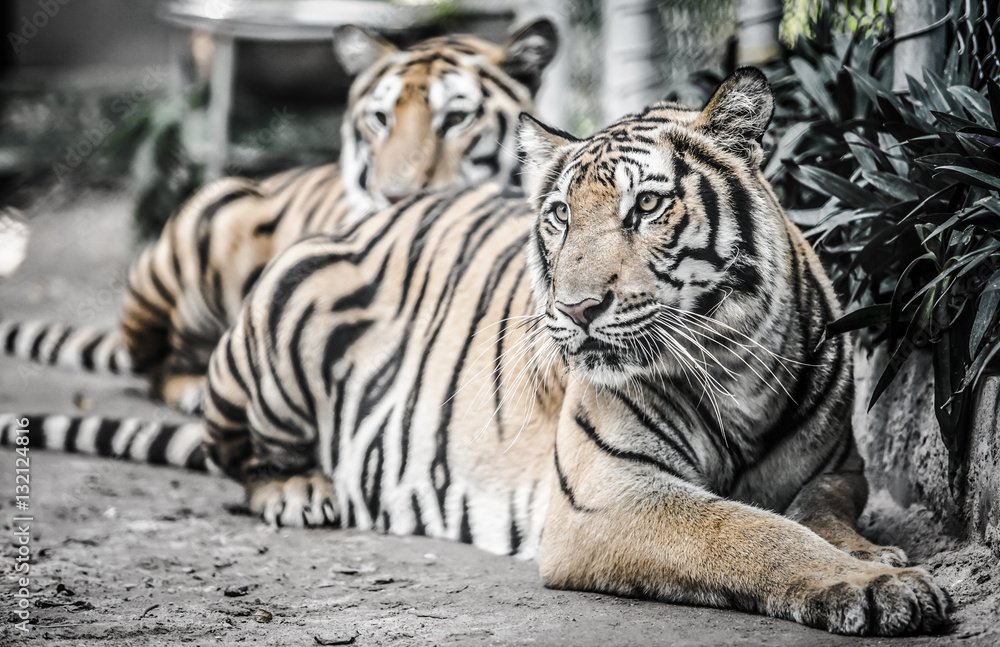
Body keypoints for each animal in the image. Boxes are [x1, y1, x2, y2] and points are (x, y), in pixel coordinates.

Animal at [0, 68, 952, 635]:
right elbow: (750, 531)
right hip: (276, 324)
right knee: (236, 454)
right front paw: (875, 588)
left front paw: (873, 557)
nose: (575, 310)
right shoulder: (609, 495)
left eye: (647, 207)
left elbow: (814, 510)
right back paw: (303, 490)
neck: (734, 364)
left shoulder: (836, 468)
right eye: (561, 215)